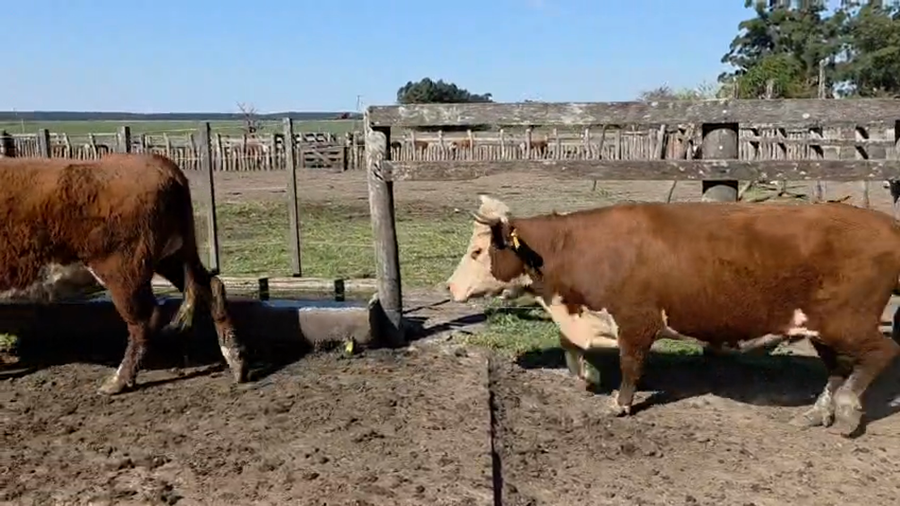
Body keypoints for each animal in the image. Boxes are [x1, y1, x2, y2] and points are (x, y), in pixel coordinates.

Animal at [0, 153, 248, 395]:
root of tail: (160, 163)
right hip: (173, 257)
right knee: (211, 287)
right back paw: (237, 362)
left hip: (123, 272)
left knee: (143, 320)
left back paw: (116, 382)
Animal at [446, 194, 900, 437]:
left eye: (477, 251)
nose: (450, 288)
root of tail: (884, 223)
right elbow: (569, 346)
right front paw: (587, 375)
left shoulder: (636, 321)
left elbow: (631, 365)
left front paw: (619, 403)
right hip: (820, 327)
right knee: (839, 368)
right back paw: (818, 411)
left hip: (848, 322)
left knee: (882, 352)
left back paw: (846, 409)